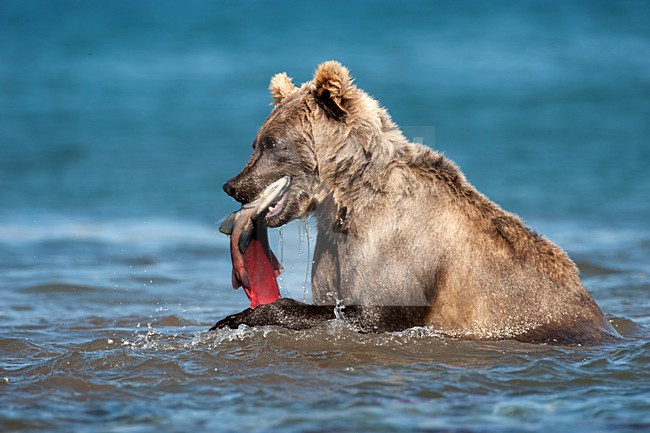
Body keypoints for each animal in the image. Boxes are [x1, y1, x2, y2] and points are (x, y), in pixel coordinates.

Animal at [213, 60, 618, 344]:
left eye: (271, 144)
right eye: (256, 142)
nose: (233, 185)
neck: (345, 197)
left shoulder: (401, 246)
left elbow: (374, 313)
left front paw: (237, 318)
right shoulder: (335, 247)